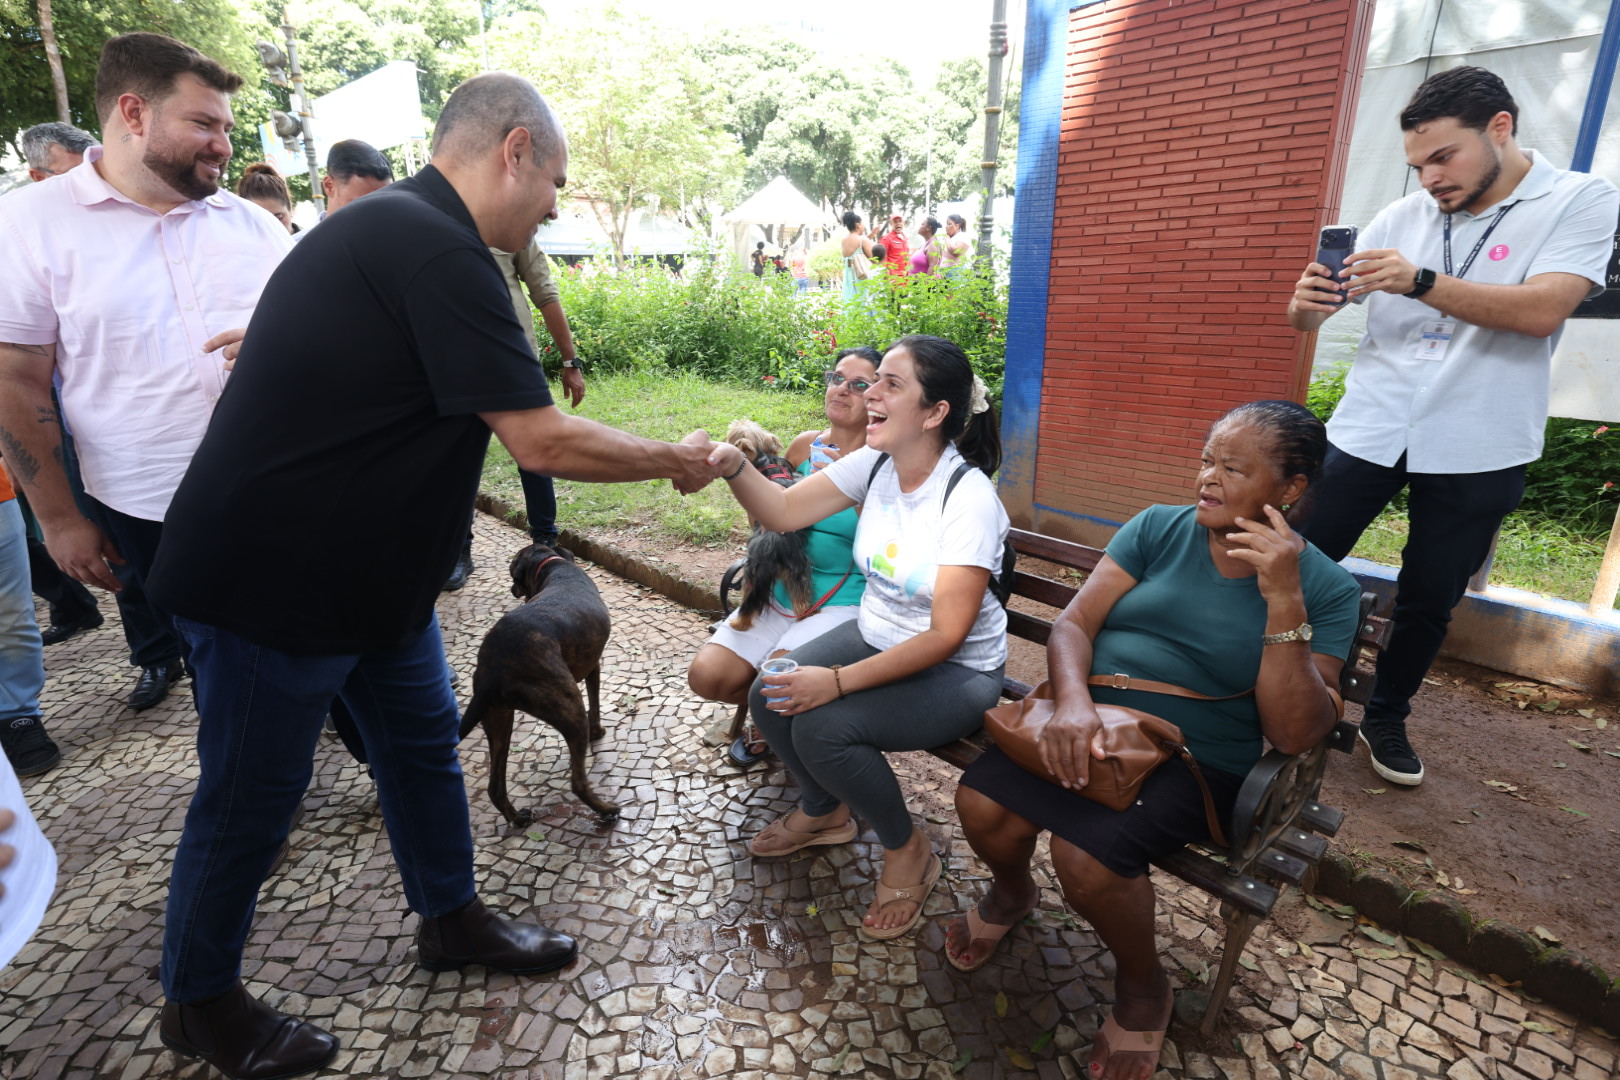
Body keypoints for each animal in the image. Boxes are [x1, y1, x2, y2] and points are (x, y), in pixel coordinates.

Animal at [459, 543, 618, 825]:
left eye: (514, 577)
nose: (512, 589)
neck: (552, 564)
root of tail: (493, 668)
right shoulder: (594, 666)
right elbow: (596, 702)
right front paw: (598, 731)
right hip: (570, 708)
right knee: (577, 783)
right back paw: (607, 810)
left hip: (499, 721)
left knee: (495, 788)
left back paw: (518, 818)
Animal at [724, 418, 814, 631]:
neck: (764, 459)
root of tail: (770, 546)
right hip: (797, 567)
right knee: (800, 596)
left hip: (754, 573)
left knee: (750, 601)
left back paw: (739, 623)